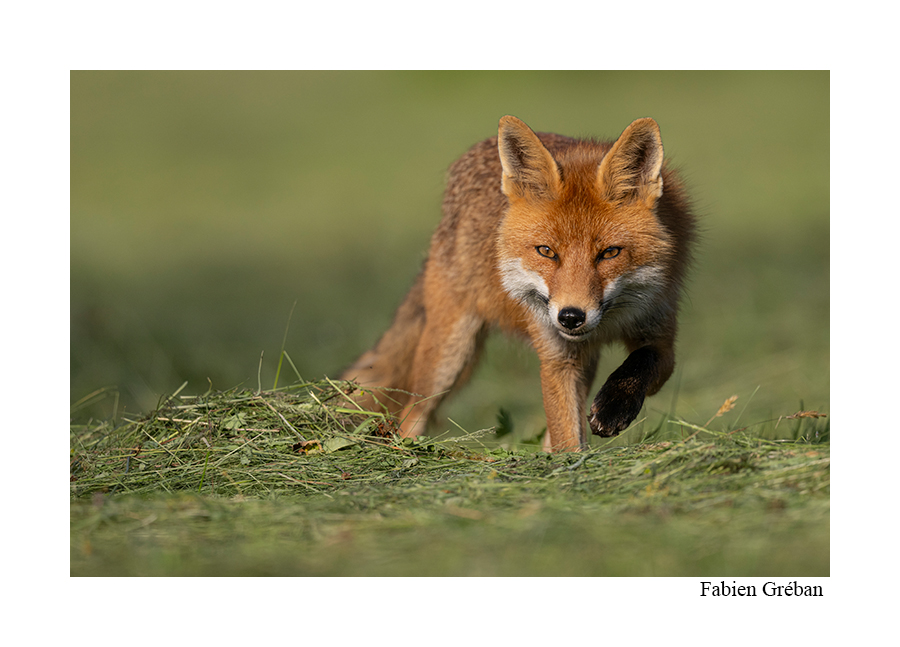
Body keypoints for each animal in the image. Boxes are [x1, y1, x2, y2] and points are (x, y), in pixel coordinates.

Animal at [341, 115, 696, 452]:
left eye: (610, 253)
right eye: (546, 251)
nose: (571, 317)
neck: (608, 324)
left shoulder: (659, 333)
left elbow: (642, 362)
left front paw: (614, 408)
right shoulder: (556, 356)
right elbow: (565, 435)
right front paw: (570, 462)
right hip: (449, 355)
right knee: (412, 415)